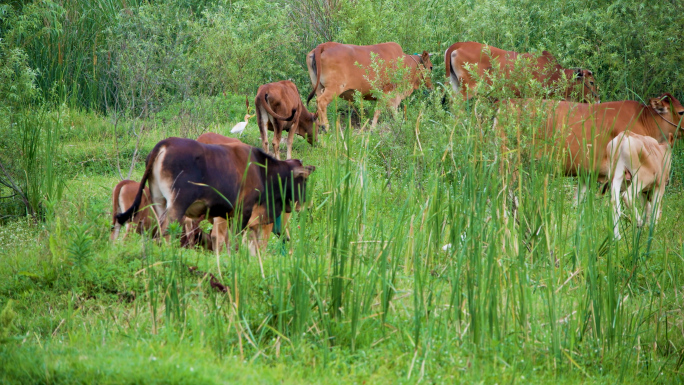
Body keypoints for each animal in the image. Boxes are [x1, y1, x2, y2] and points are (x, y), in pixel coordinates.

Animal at [115, 137, 316, 255]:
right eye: (304, 180)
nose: (306, 205)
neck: (263, 171)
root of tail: (166, 143)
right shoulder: (243, 212)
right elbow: (235, 241)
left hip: (159, 201)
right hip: (177, 203)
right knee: (165, 230)